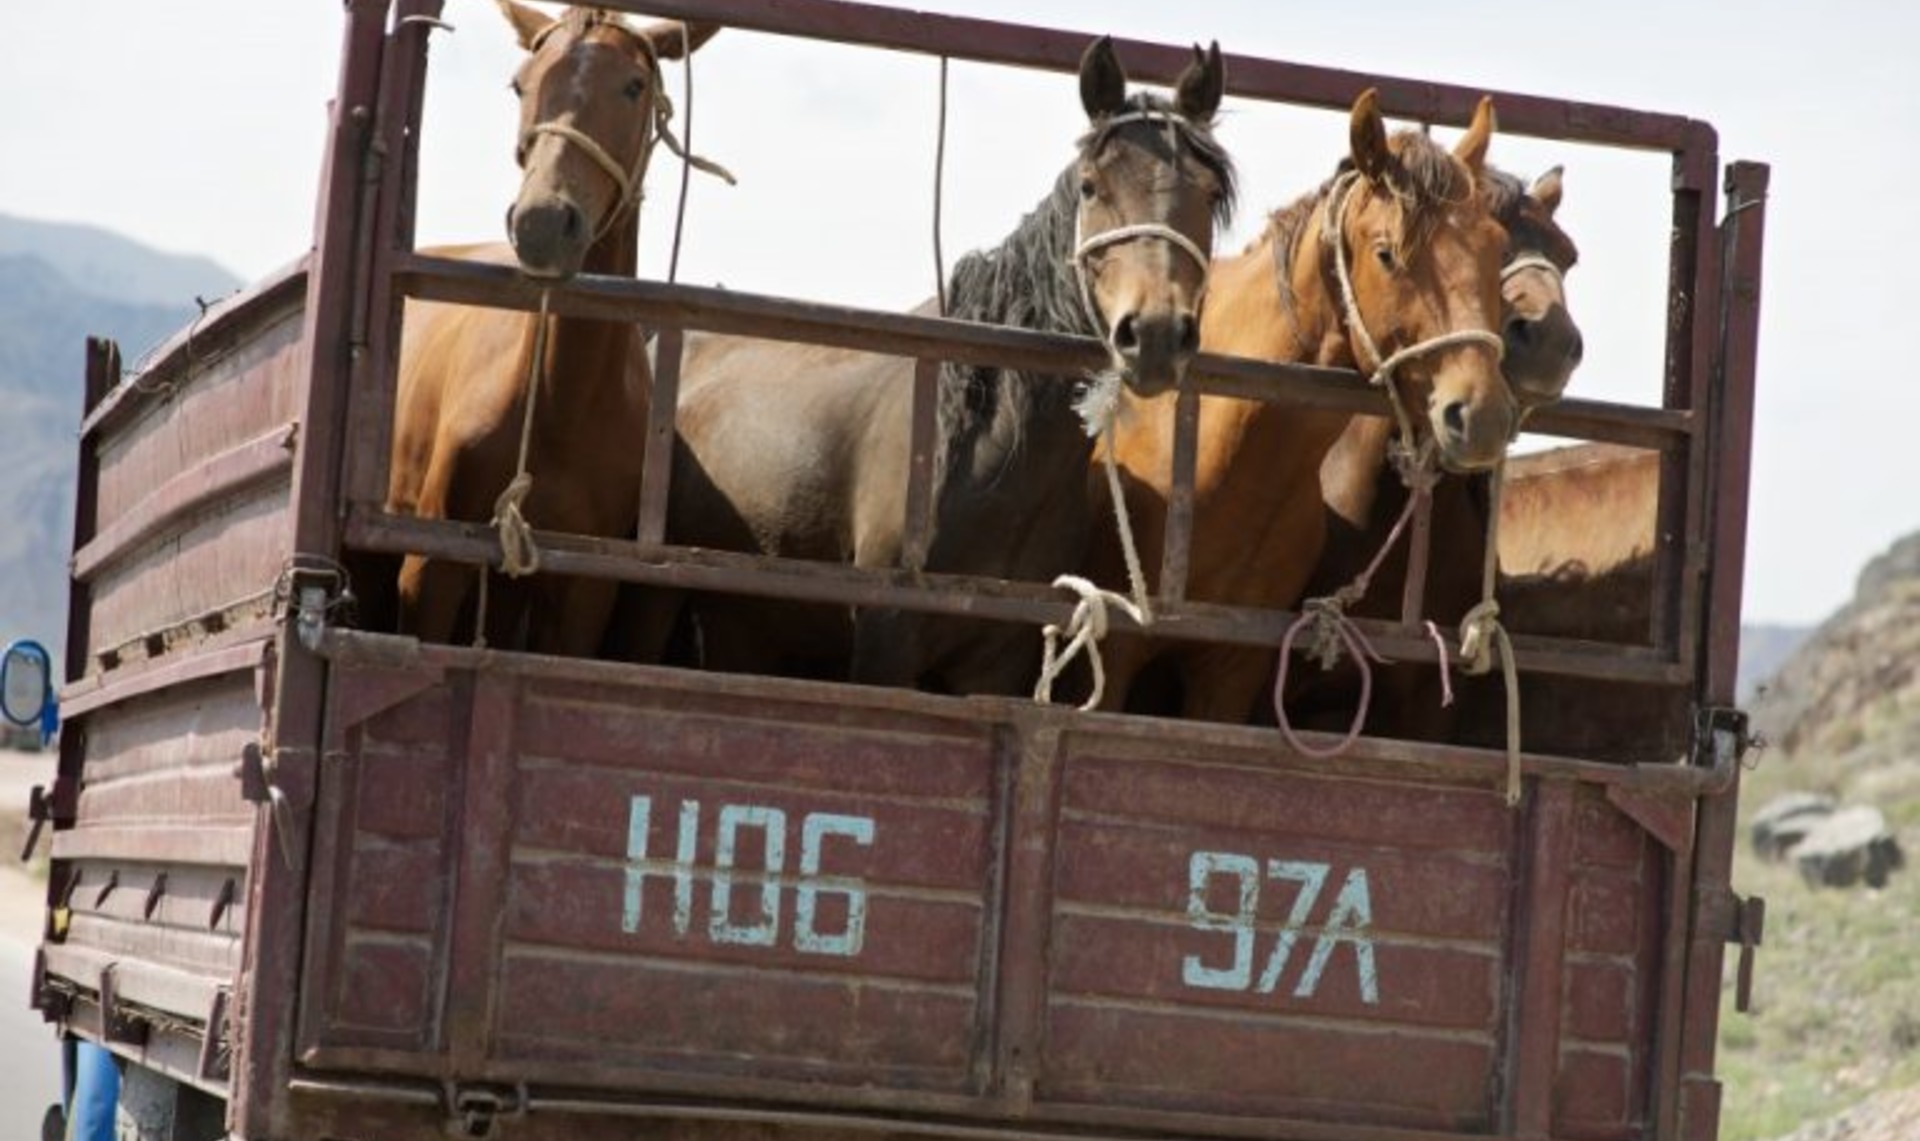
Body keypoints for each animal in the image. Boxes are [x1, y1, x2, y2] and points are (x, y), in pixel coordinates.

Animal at [385, 2, 718, 649]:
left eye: (634, 85)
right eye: (520, 84)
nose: (541, 221)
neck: (559, 404)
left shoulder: (582, 593)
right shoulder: (430, 567)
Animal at [622, 35, 1236, 691]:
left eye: (1210, 194)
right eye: (1092, 186)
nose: (1154, 334)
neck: (982, 449)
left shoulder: (997, 663)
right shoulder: (885, 640)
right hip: (655, 605)